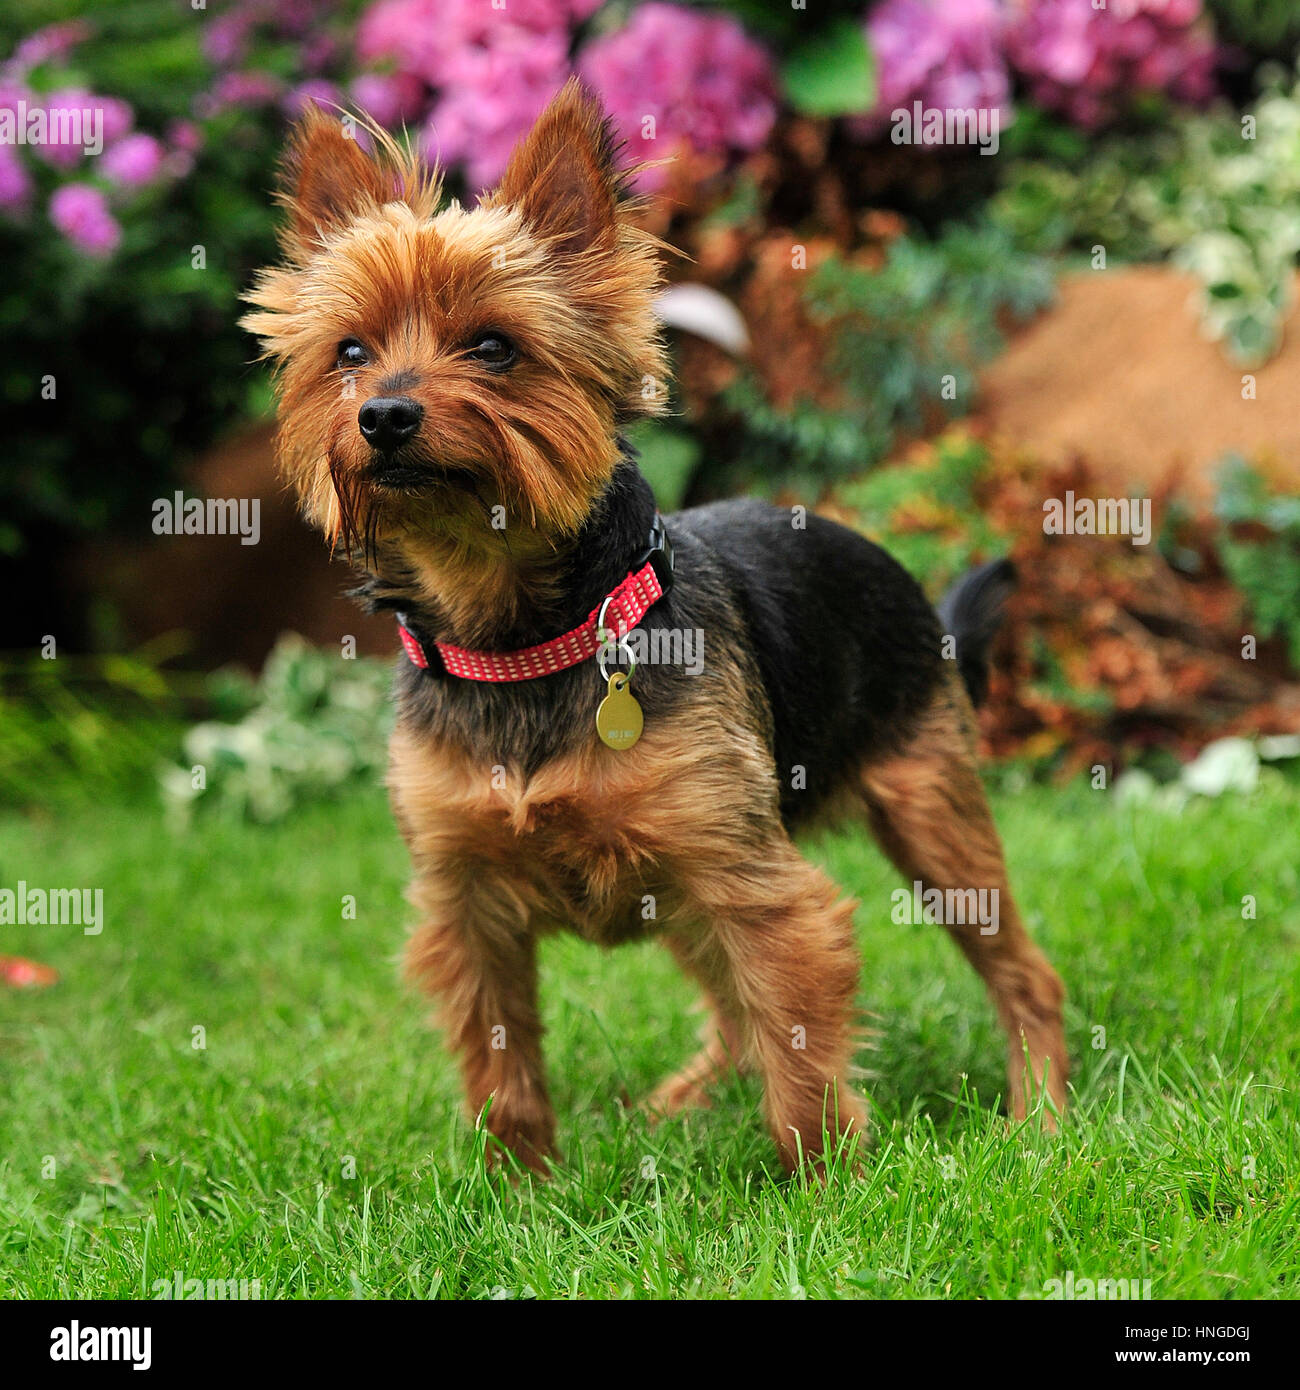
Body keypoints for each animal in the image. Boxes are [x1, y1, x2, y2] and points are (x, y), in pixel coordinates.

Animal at [244, 81, 1067, 1178]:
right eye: (347, 353)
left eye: (493, 347)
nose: (382, 414)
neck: (516, 637)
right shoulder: (465, 902)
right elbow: (501, 1057)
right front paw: (518, 1187)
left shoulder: (749, 878)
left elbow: (797, 1042)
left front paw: (826, 1184)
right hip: (682, 888)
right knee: (726, 1006)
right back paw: (685, 1101)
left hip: (928, 806)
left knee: (1019, 970)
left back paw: (1043, 1119)